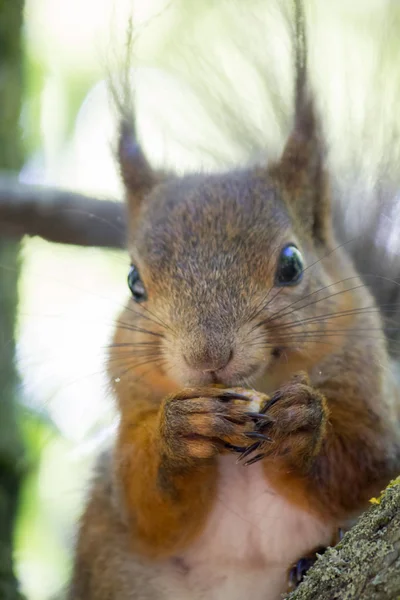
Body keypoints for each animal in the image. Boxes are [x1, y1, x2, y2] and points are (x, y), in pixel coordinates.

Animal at [65, 4, 400, 600]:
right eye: (133, 282)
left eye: (291, 264)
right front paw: (182, 430)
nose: (207, 357)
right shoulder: (134, 406)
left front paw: (302, 425)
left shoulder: (371, 393)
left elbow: (363, 464)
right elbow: (146, 506)